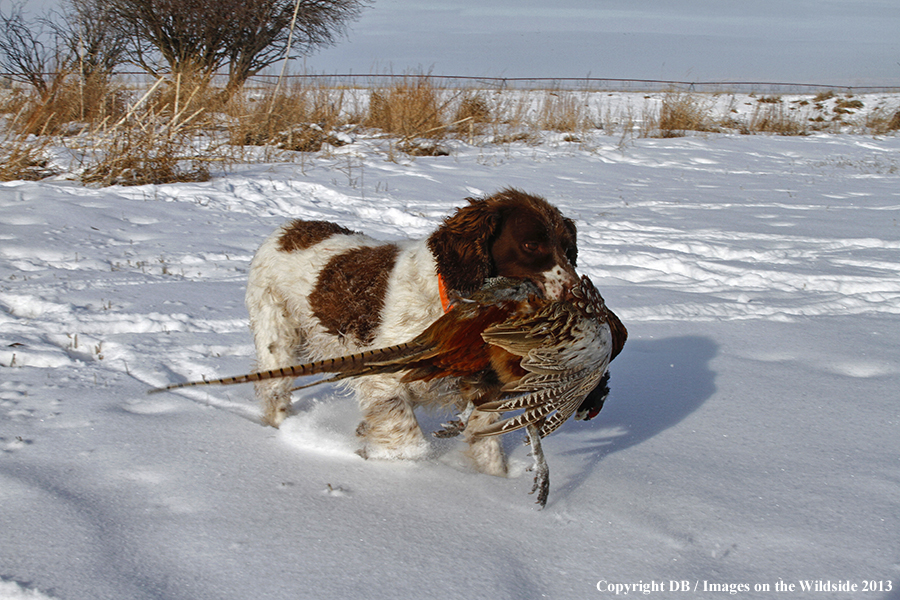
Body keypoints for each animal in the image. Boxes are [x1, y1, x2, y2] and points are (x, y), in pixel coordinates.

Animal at [243, 188, 580, 474]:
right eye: (531, 245)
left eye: (568, 248)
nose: (576, 293)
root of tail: (288, 228)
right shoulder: (382, 378)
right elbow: (410, 444)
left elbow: (488, 449)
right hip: (278, 337)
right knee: (274, 389)